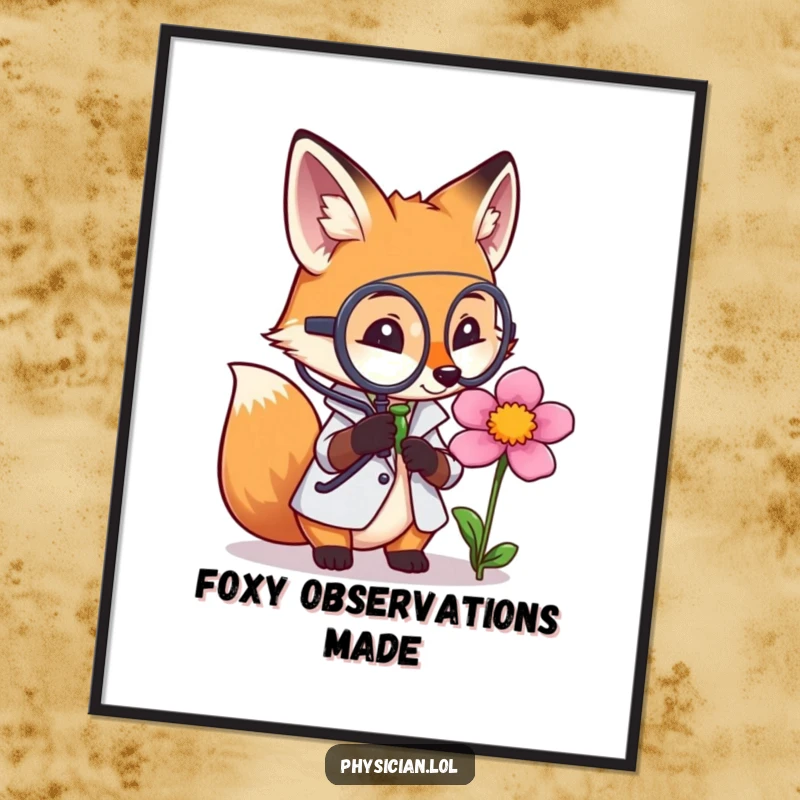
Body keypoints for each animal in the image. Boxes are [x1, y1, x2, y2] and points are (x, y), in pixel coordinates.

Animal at [218, 129, 520, 573]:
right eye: (384, 334)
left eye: (468, 331)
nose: (447, 375)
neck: (395, 404)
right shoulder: (338, 421)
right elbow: (330, 448)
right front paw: (373, 434)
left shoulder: (435, 431)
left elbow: (448, 466)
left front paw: (419, 453)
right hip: (321, 518)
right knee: (327, 532)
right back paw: (332, 554)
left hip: (419, 522)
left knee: (410, 538)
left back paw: (407, 559)